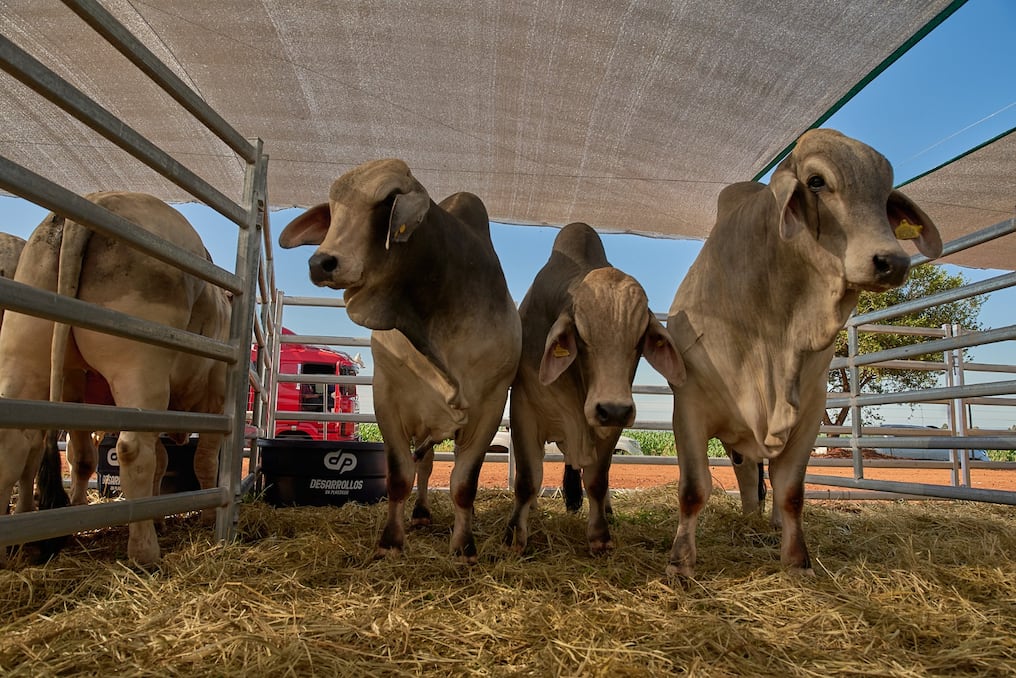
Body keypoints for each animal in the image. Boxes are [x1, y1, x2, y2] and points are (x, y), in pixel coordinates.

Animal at [0, 193, 230, 565]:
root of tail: (99, 201)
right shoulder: (216, 399)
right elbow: (203, 461)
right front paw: (207, 518)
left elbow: (160, 461)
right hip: (139, 366)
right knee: (132, 449)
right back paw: (144, 551)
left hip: (26, 350)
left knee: (15, 444)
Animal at [278, 160, 520, 561]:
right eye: (333, 211)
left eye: (386, 202)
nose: (321, 262)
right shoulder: (387, 398)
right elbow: (399, 476)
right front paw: (390, 541)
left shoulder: (490, 405)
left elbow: (463, 484)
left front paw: (464, 546)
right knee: (423, 466)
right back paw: (419, 514)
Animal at [505, 225, 682, 552]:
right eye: (583, 338)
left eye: (639, 340)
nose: (612, 408)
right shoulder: (525, 411)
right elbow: (527, 479)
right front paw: (514, 535)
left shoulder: (610, 427)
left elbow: (598, 480)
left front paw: (600, 535)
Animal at [666, 128, 942, 577]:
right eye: (816, 181)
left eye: (885, 195)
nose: (893, 261)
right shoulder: (689, 404)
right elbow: (693, 489)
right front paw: (680, 563)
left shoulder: (811, 412)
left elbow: (791, 491)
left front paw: (797, 560)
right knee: (746, 472)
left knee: (764, 480)